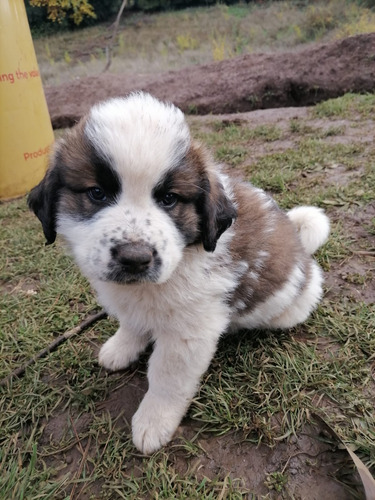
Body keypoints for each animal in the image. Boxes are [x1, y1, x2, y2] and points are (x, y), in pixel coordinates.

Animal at [27, 92, 330, 456]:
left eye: (169, 199)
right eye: (96, 193)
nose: (135, 258)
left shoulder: (189, 332)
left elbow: (166, 378)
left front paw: (154, 419)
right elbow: (132, 322)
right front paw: (123, 346)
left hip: (292, 305)